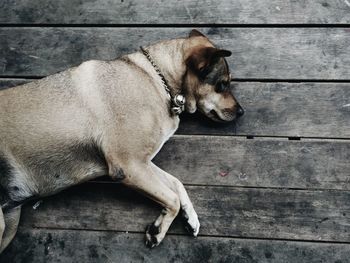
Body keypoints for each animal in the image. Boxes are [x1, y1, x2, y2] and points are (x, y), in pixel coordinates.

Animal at [0, 28, 245, 252]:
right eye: (222, 84)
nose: (241, 112)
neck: (158, 79)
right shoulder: (129, 166)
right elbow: (172, 198)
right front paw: (158, 229)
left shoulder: (142, 163)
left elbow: (176, 184)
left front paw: (190, 217)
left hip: (10, 222)